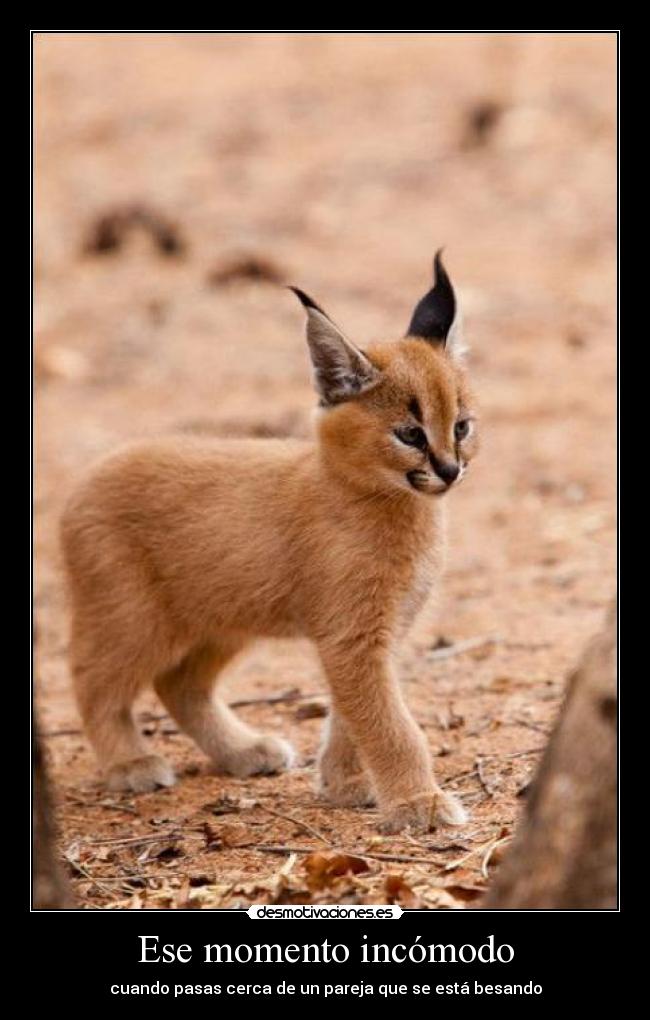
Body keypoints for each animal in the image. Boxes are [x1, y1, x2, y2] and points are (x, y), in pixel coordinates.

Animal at [60, 252, 477, 828]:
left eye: (461, 426)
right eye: (410, 434)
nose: (451, 470)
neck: (396, 506)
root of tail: (90, 474)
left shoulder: (378, 631)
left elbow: (353, 714)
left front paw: (344, 785)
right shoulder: (354, 635)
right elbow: (389, 723)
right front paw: (420, 802)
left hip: (222, 614)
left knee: (178, 684)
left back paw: (243, 751)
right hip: (132, 615)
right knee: (91, 678)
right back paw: (130, 763)